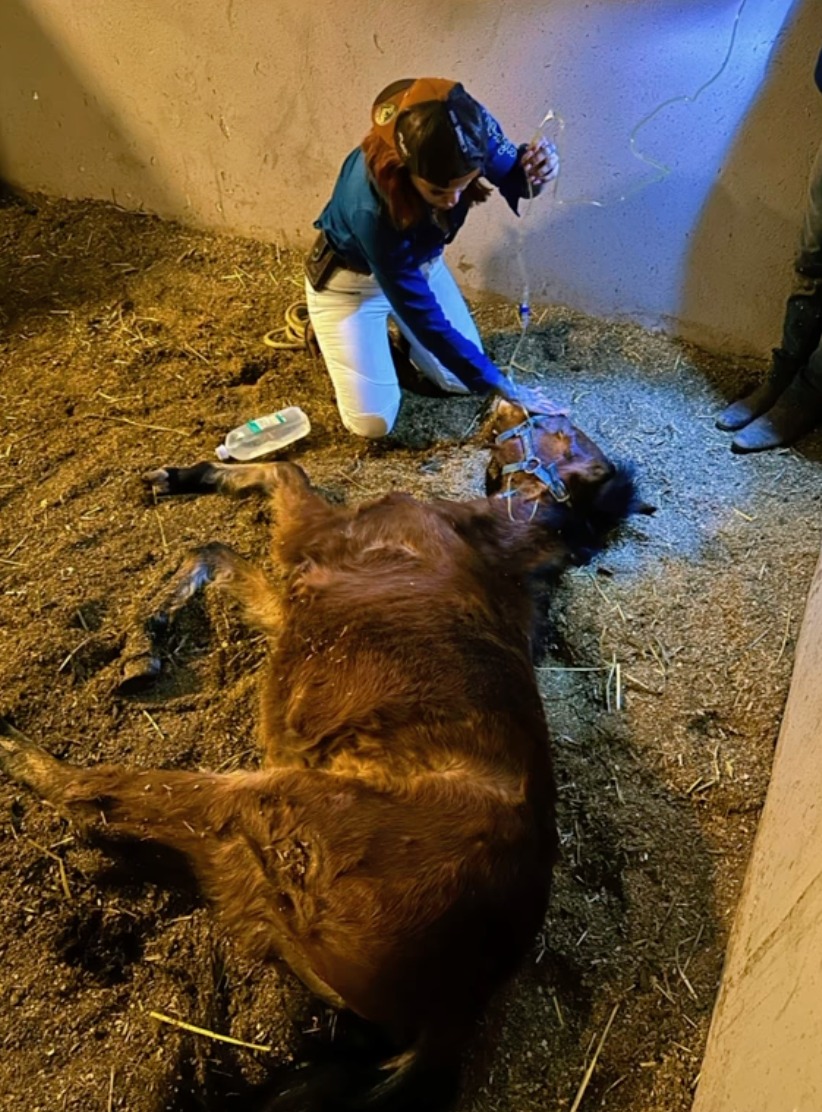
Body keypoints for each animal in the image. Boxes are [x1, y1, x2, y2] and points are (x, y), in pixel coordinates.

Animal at [0, 400, 652, 1111]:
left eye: (554, 421)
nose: (500, 401)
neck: (502, 532)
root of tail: (451, 1012)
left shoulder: (311, 542)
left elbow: (285, 473)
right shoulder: (288, 600)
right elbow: (216, 550)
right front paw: (170, 529)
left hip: (266, 803)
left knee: (93, 793)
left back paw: (17, 745)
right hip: (263, 891)